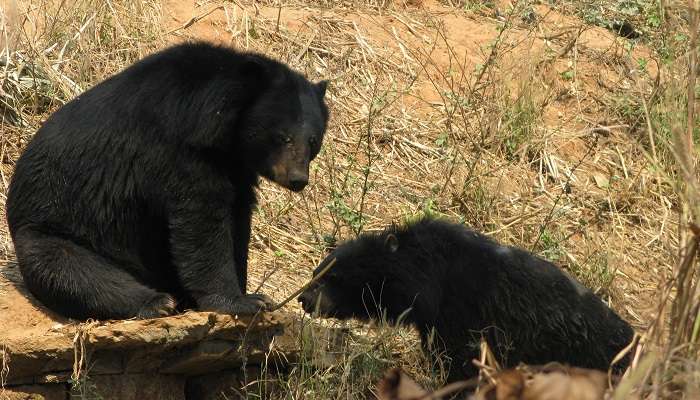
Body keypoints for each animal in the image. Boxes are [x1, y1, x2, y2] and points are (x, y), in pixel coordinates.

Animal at [5, 42, 330, 320]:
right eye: (282, 137)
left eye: (313, 141)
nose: (298, 179)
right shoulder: (177, 149)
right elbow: (201, 220)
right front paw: (244, 301)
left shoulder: (235, 164)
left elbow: (237, 215)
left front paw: (247, 291)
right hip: (53, 229)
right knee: (74, 270)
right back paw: (157, 301)